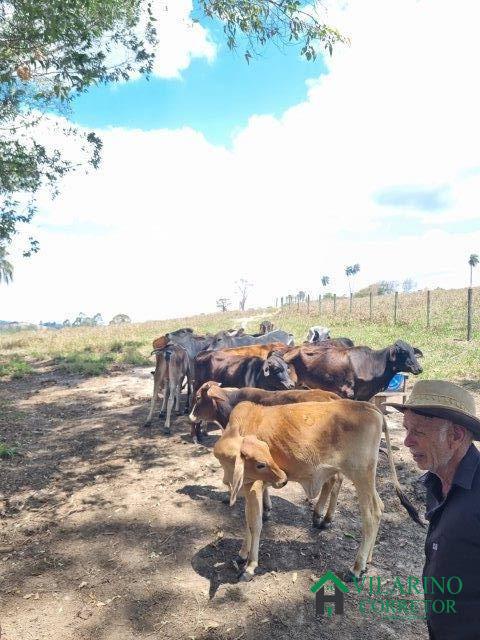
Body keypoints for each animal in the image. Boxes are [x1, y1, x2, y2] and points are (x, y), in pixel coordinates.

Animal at [215, 402, 424, 584]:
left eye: (262, 462)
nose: (283, 479)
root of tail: (370, 407)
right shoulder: (247, 487)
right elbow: (247, 521)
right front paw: (242, 554)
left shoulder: (255, 487)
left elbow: (255, 524)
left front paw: (250, 566)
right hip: (368, 480)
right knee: (379, 507)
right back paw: (368, 560)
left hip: (361, 476)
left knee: (371, 516)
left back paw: (356, 568)